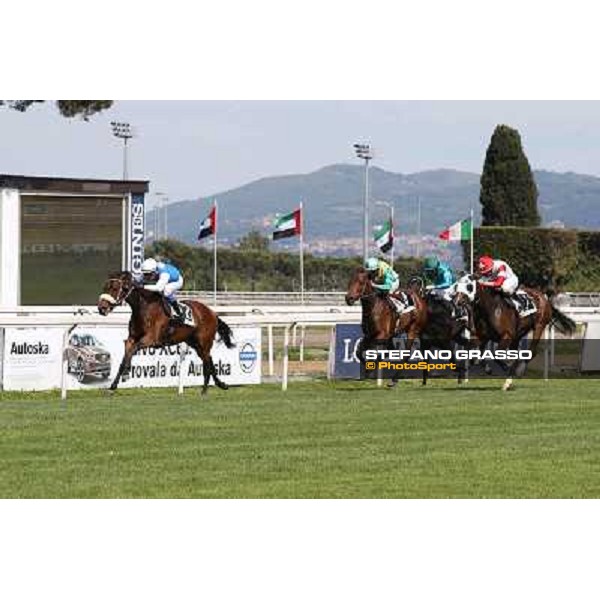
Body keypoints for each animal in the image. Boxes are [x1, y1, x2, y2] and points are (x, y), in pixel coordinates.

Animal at [96, 270, 234, 394]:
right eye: (105, 287)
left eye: (115, 288)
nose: (101, 308)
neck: (144, 308)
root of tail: (212, 312)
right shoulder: (131, 339)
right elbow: (125, 357)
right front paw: (113, 385)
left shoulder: (150, 340)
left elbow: (132, 351)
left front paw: (126, 373)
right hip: (195, 343)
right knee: (209, 360)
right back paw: (221, 384)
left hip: (204, 342)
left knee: (207, 363)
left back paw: (204, 390)